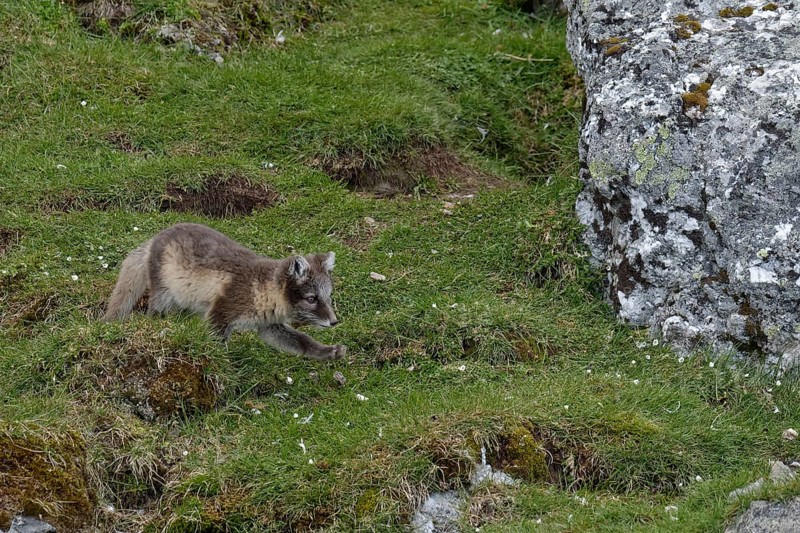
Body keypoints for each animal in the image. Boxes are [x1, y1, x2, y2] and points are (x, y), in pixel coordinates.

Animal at [103, 223, 346, 361]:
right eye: (311, 299)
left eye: (328, 297)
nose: (335, 322)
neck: (261, 290)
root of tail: (156, 237)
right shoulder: (221, 314)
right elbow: (216, 344)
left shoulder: (269, 326)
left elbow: (303, 342)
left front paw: (329, 352)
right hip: (163, 294)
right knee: (153, 313)